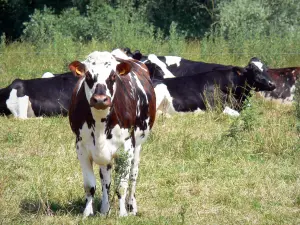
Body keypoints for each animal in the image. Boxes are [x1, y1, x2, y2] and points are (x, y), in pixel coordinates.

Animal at [68, 50, 157, 217]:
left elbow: (121, 185)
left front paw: (122, 214)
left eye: (113, 76)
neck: (100, 124)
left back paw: (131, 206)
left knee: (133, 175)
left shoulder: (126, 147)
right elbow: (90, 185)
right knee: (105, 179)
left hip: (138, 145)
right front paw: (87, 213)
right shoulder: (81, 147)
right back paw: (104, 209)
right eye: (88, 75)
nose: (100, 99)